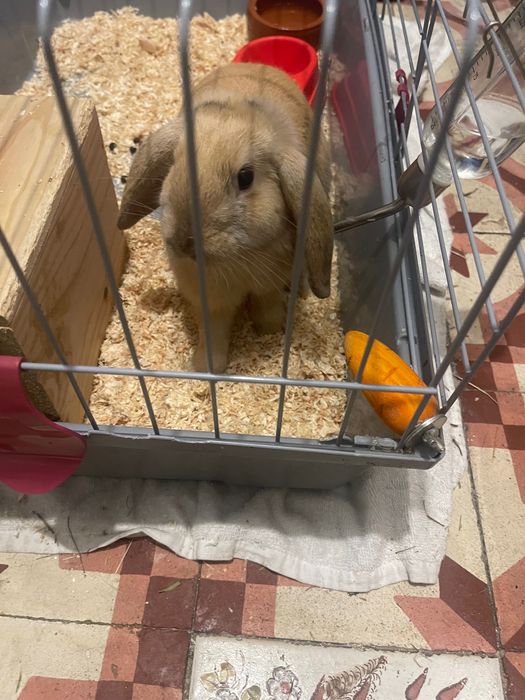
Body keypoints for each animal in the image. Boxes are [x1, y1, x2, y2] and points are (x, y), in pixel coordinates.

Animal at [117, 62, 333, 373]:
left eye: (245, 177)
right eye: (174, 164)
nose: (184, 243)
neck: (235, 258)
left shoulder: (267, 284)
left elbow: (266, 307)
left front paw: (271, 330)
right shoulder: (209, 298)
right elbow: (214, 332)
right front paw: (206, 367)